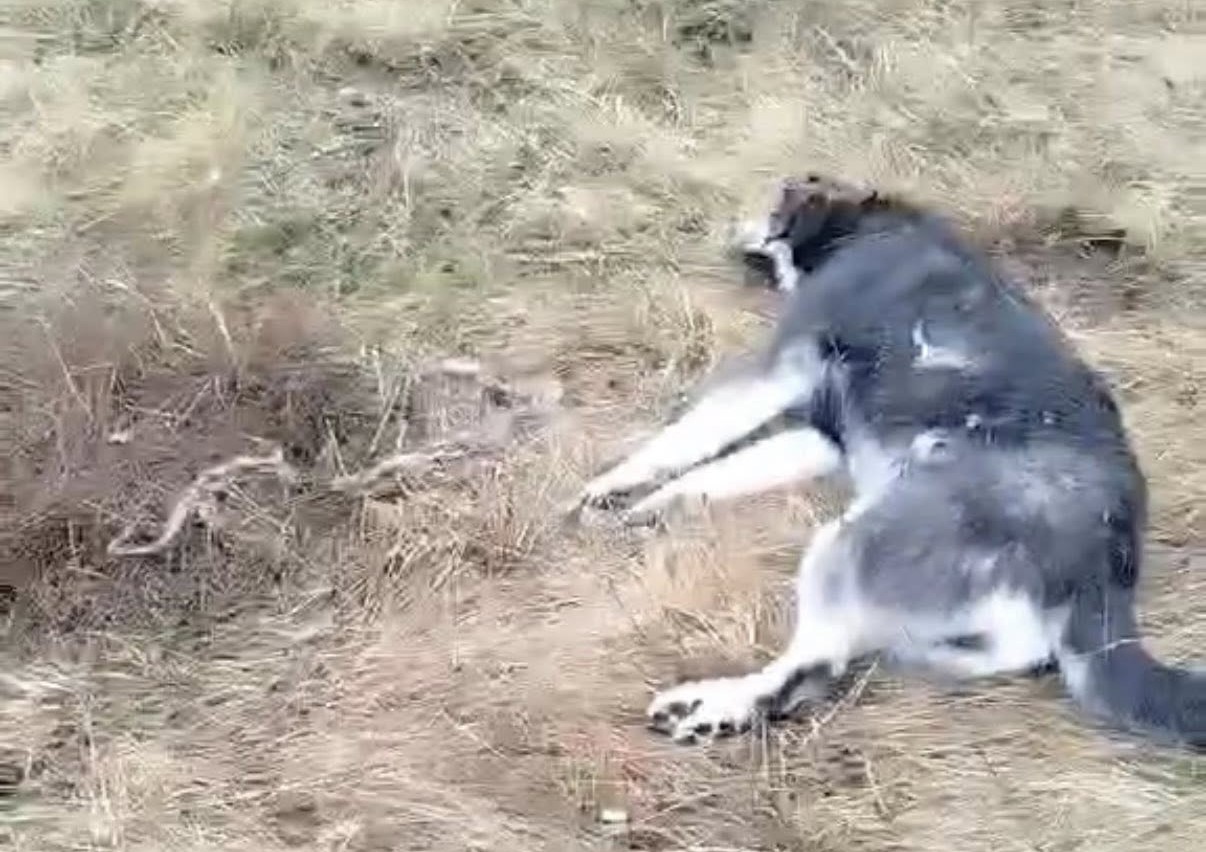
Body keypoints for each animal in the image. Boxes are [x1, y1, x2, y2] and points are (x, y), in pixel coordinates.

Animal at [577, 175, 1205, 750]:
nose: (728, 230)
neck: (866, 227)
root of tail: (1108, 556)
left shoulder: (782, 368)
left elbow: (686, 437)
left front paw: (611, 484)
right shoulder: (820, 433)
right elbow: (713, 473)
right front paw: (650, 504)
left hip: (853, 545)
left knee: (810, 670)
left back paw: (715, 706)